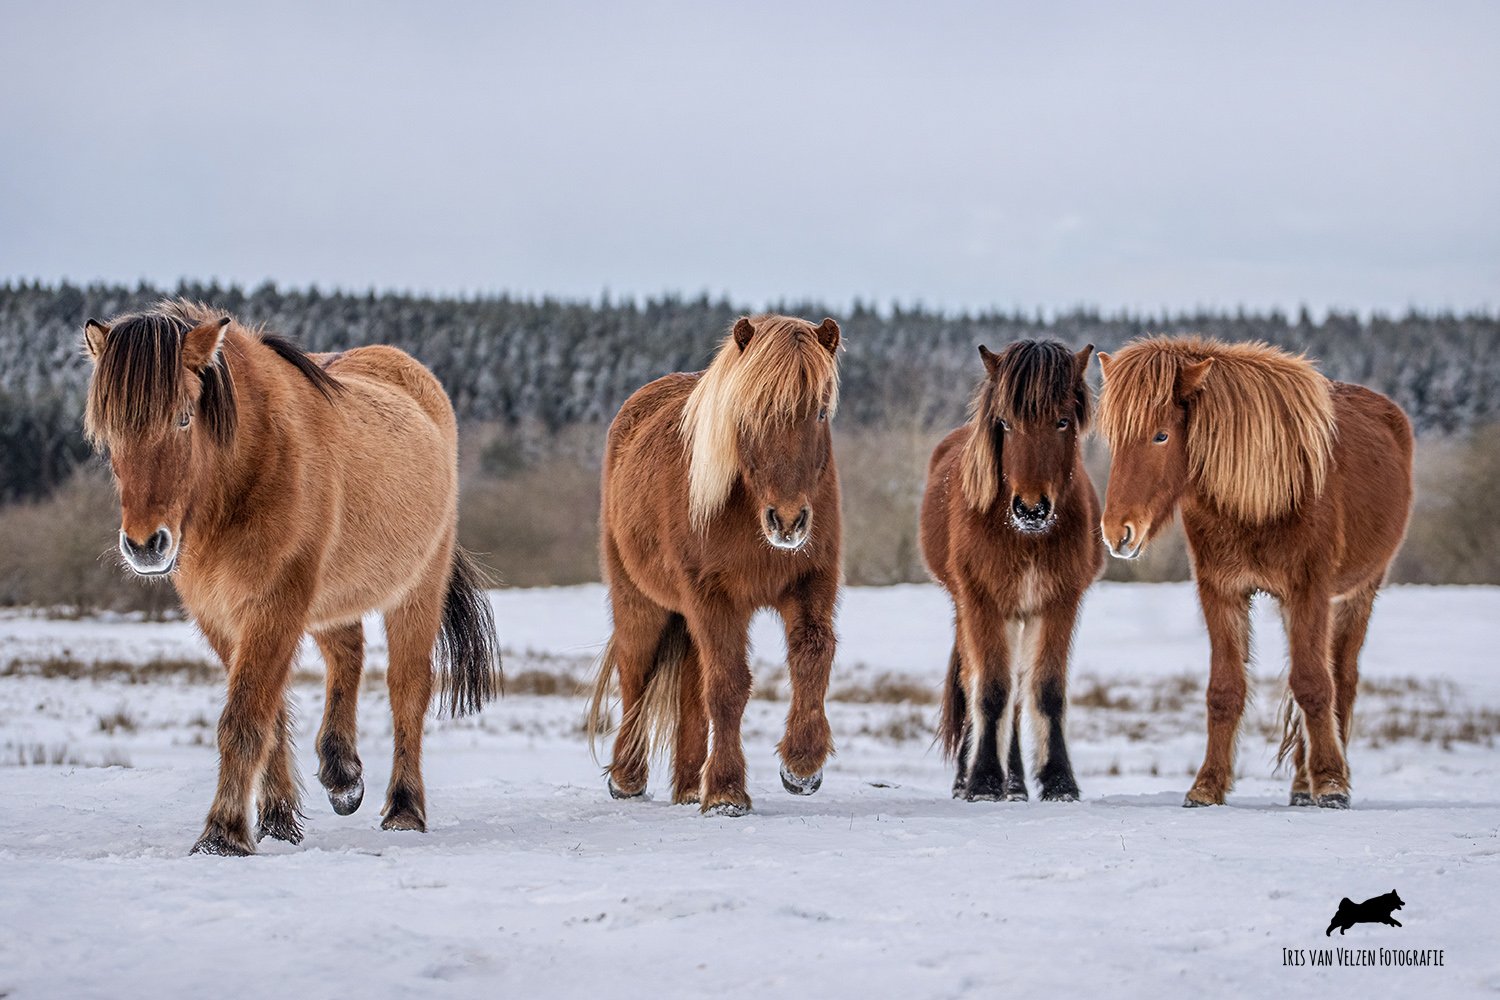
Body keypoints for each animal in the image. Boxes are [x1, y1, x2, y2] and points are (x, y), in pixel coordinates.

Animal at [83, 301, 498, 857]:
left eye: (184, 417)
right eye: (109, 432)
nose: (146, 545)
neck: (253, 468)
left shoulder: (274, 604)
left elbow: (244, 718)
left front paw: (222, 834)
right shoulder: (224, 618)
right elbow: (271, 716)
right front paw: (277, 820)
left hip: (416, 590)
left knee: (407, 687)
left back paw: (405, 808)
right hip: (329, 597)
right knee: (347, 653)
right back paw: (342, 775)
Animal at [585, 313, 846, 815]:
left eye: (821, 412)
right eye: (749, 413)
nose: (788, 521)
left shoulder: (811, 583)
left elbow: (813, 655)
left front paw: (802, 764)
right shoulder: (713, 596)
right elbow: (727, 685)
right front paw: (726, 791)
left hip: (689, 617)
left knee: (690, 689)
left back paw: (689, 787)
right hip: (641, 600)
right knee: (635, 673)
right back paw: (628, 778)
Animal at [912, 344, 1104, 803]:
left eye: (1062, 420)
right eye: (1005, 424)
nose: (1030, 509)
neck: (1024, 537)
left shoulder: (1058, 604)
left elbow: (1046, 692)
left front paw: (1059, 782)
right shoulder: (982, 603)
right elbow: (991, 690)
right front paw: (982, 780)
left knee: (1018, 694)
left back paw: (1015, 784)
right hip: (970, 611)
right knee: (974, 681)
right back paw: (970, 781)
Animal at [1098, 340, 1410, 809]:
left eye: (1161, 435)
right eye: (1113, 439)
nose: (1118, 532)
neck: (1259, 498)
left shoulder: (1309, 591)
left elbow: (1314, 685)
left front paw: (1331, 783)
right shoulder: (1221, 591)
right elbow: (1224, 690)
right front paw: (1207, 786)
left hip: (1359, 593)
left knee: (1341, 679)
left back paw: (1317, 780)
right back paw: (1300, 785)